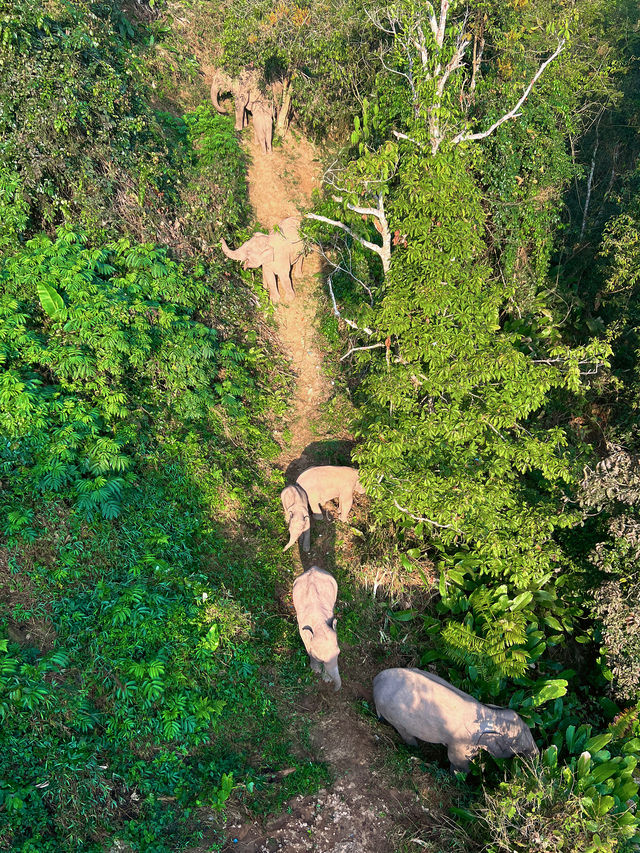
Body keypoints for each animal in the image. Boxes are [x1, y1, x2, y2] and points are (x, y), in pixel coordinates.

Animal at [292, 564, 340, 692]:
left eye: (339, 653)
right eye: (321, 658)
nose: (332, 690)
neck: (319, 624)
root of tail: (314, 568)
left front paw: (326, 679)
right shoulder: (302, 629)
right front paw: (316, 671)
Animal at [372, 664, 536, 772]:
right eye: (515, 744)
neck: (489, 713)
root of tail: (376, 680)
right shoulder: (462, 743)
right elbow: (458, 761)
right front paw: (459, 777)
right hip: (394, 714)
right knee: (405, 733)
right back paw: (415, 750)